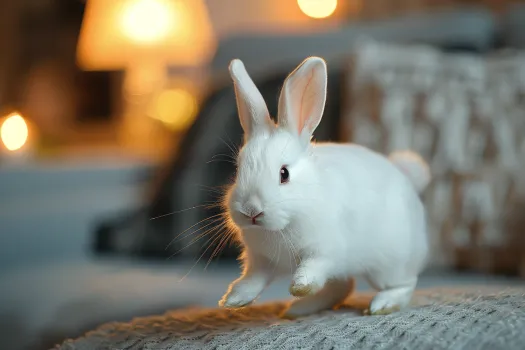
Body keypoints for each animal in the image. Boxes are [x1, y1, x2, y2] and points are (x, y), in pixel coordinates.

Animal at [217, 56, 430, 318]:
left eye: (284, 174)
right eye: (238, 170)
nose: (251, 211)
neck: (283, 226)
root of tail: (405, 176)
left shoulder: (325, 251)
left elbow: (313, 267)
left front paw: (299, 286)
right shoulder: (261, 261)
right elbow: (254, 280)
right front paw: (233, 299)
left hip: (389, 264)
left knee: (404, 284)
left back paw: (383, 304)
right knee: (342, 286)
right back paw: (299, 309)